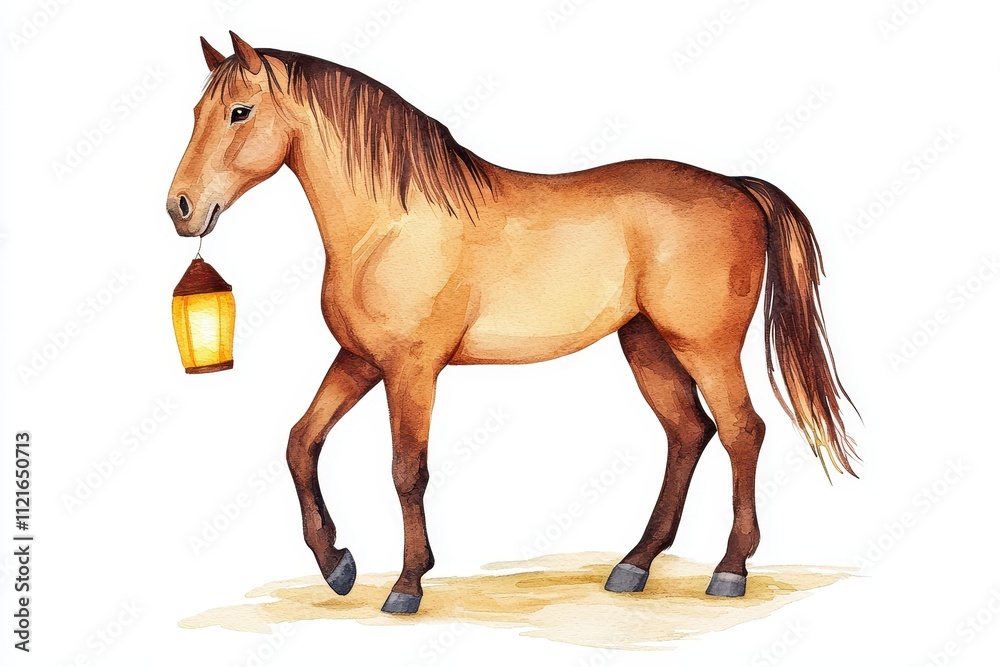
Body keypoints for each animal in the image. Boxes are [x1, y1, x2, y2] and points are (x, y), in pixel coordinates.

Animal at [166, 32, 858, 614]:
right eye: (196, 112)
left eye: (239, 113)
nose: (181, 208)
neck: (387, 223)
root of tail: (738, 187)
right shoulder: (361, 361)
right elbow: (300, 442)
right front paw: (336, 564)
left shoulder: (413, 370)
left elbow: (406, 470)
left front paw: (407, 584)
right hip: (646, 344)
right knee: (690, 432)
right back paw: (633, 566)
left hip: (705, 346)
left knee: (742, 431)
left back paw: (729, 571)